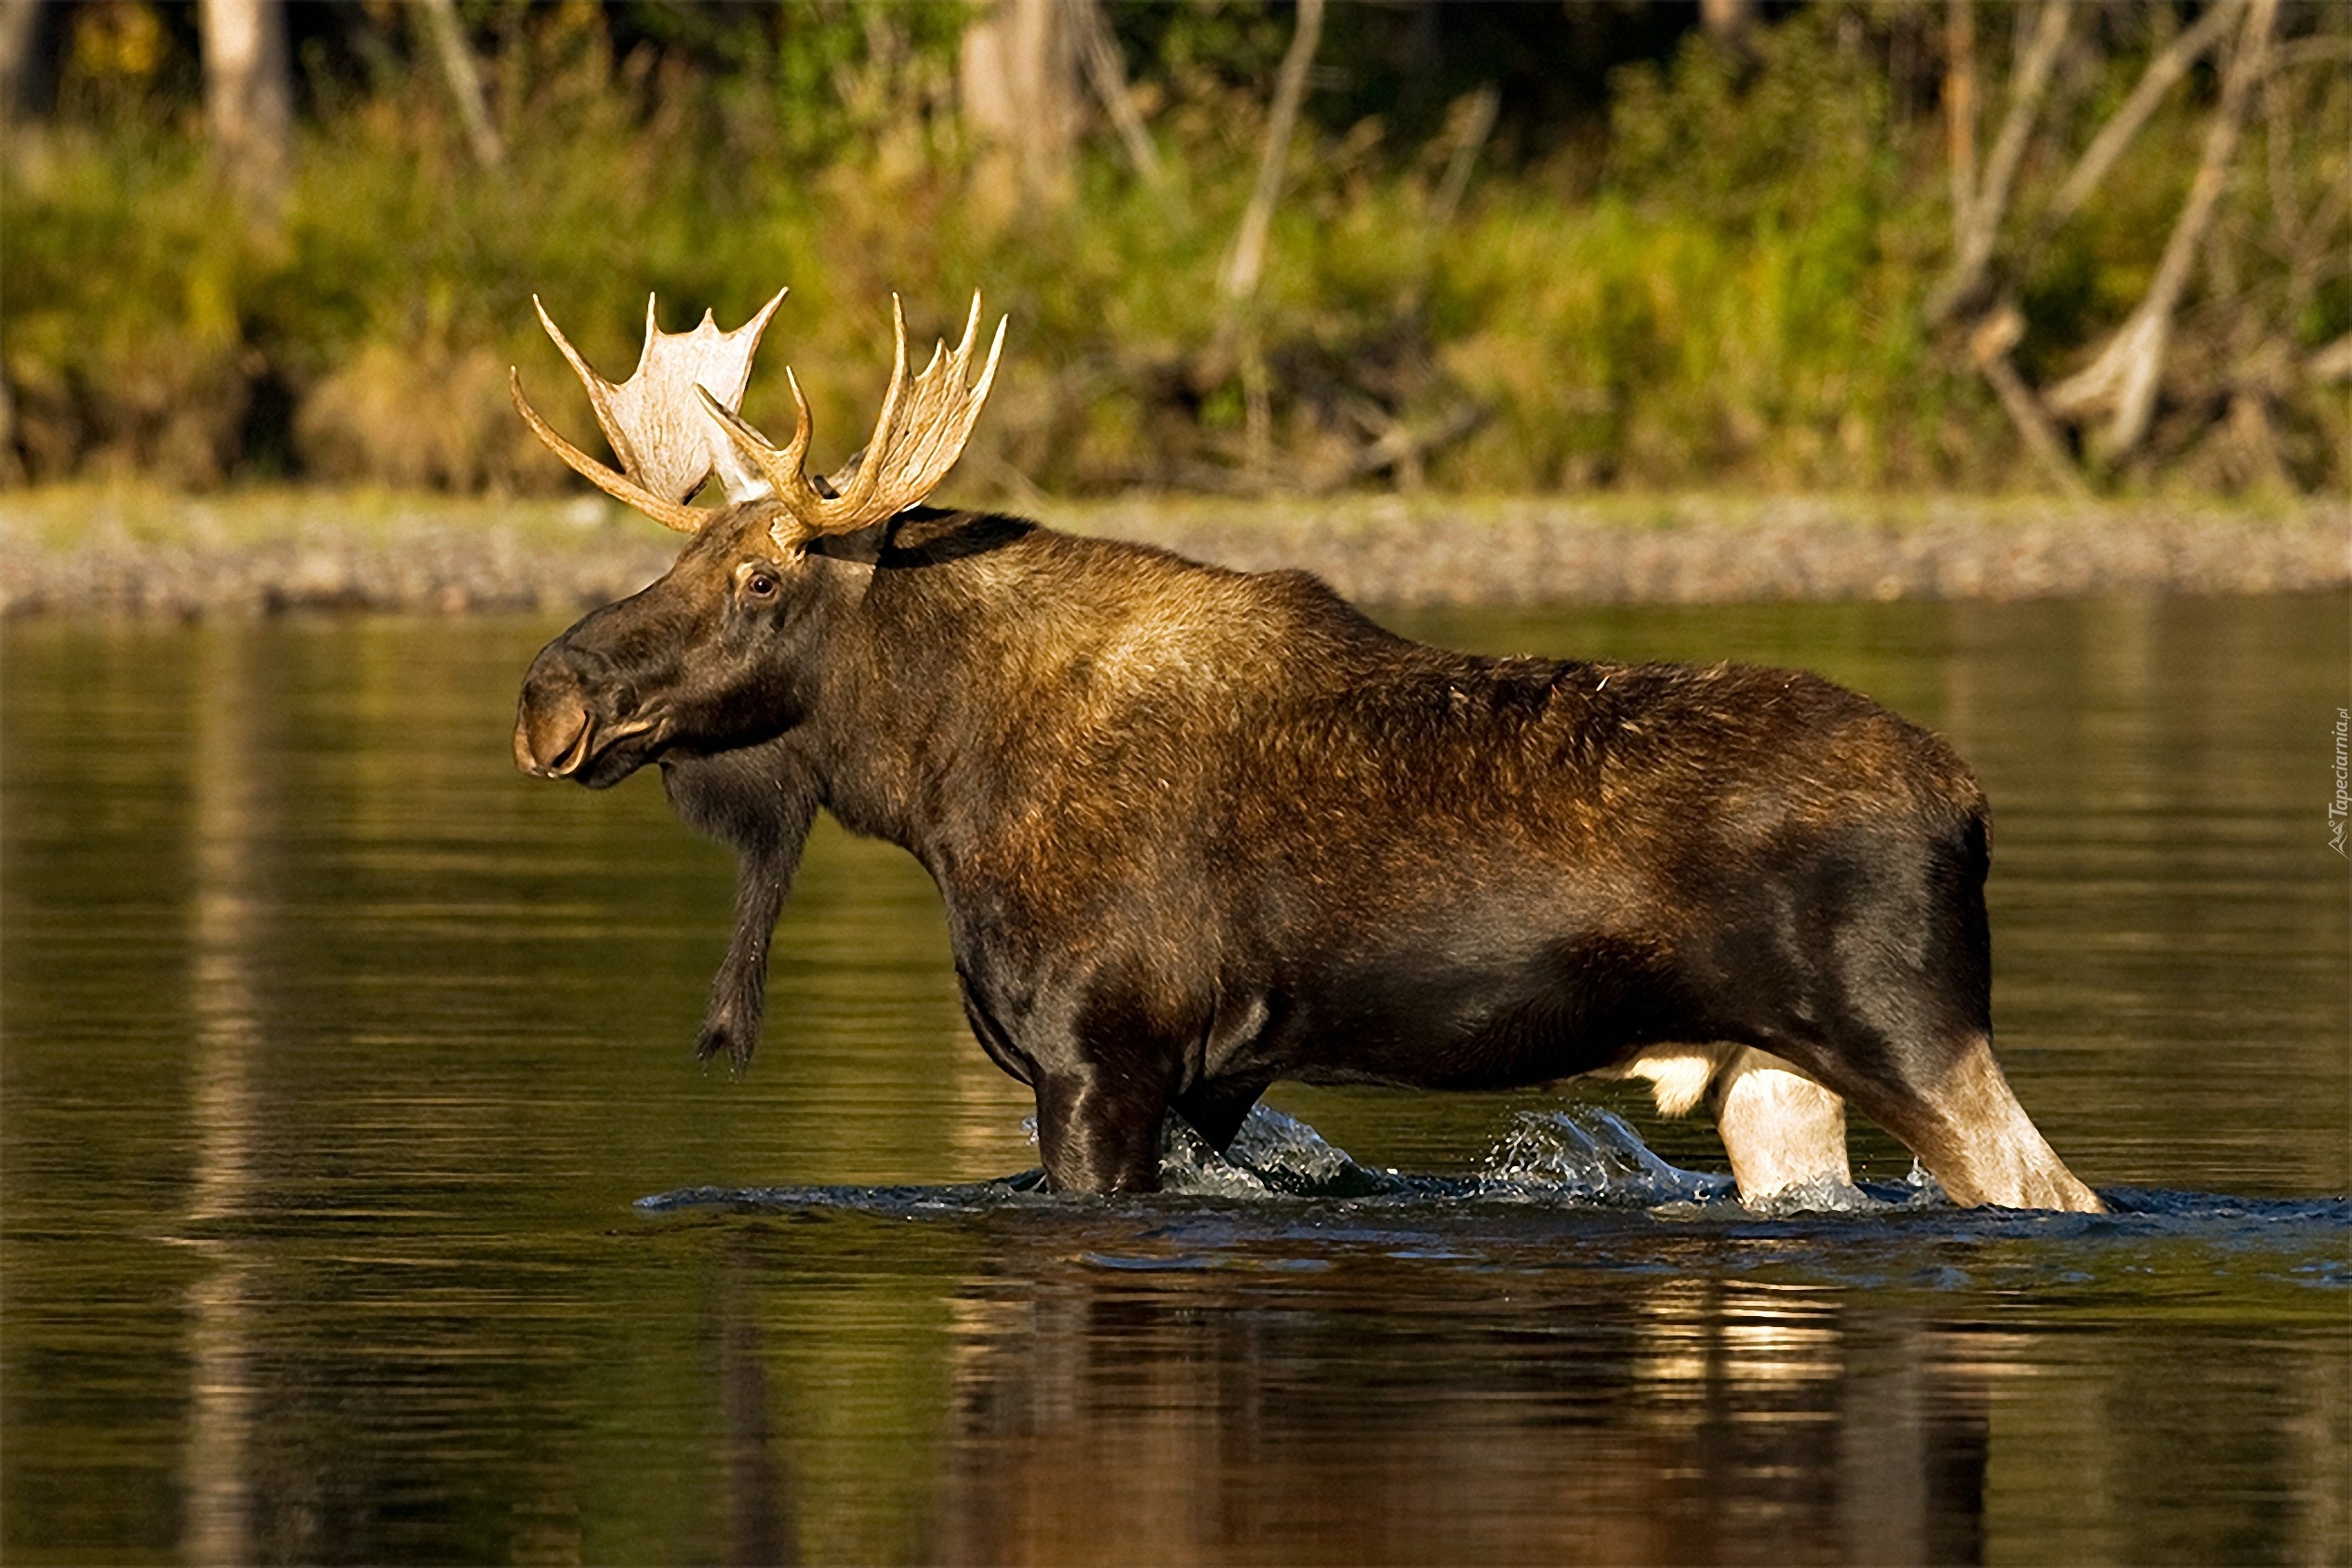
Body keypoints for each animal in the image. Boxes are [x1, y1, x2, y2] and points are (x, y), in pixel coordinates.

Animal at [510, 291, 2097, 1213]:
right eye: (687, 554)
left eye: (756, 576)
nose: (549, 696)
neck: (939, 789)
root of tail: (1972, 805)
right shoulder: (1205, 1072)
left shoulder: (1102, 1052)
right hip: (1777, 1071)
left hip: (1910, 1033)